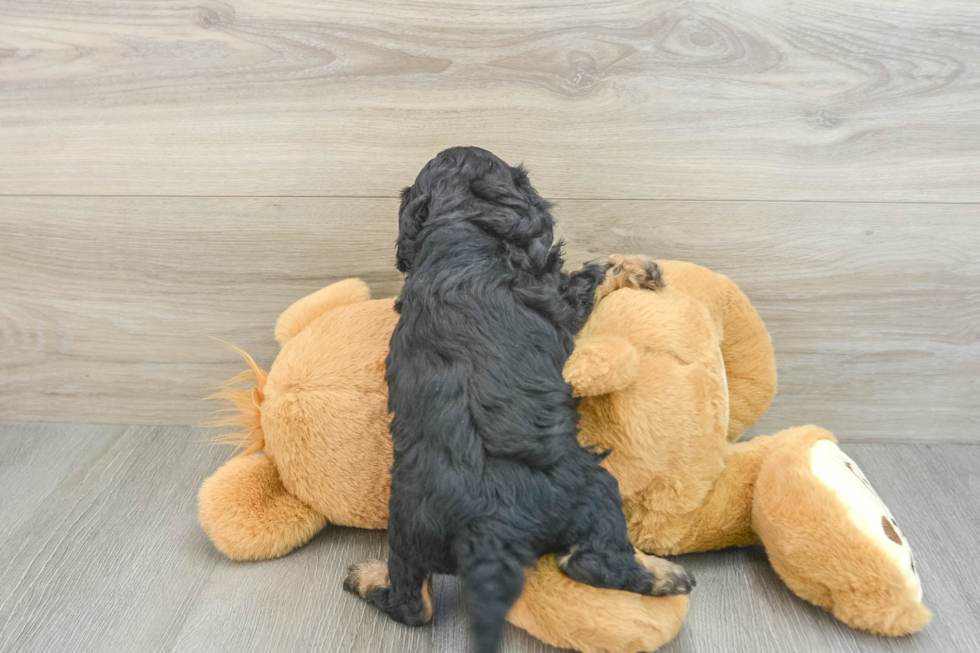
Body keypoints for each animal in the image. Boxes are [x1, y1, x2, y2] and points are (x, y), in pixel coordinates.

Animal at [348, 148, 692, 652]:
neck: (460, 233)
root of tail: (484, 529)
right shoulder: (560, 296)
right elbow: (594, 274)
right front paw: (641, 267)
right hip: (592, 488)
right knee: (592, 562)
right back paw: (667, 575)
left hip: (409, 530)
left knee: (415, 603)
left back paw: (367, 577)